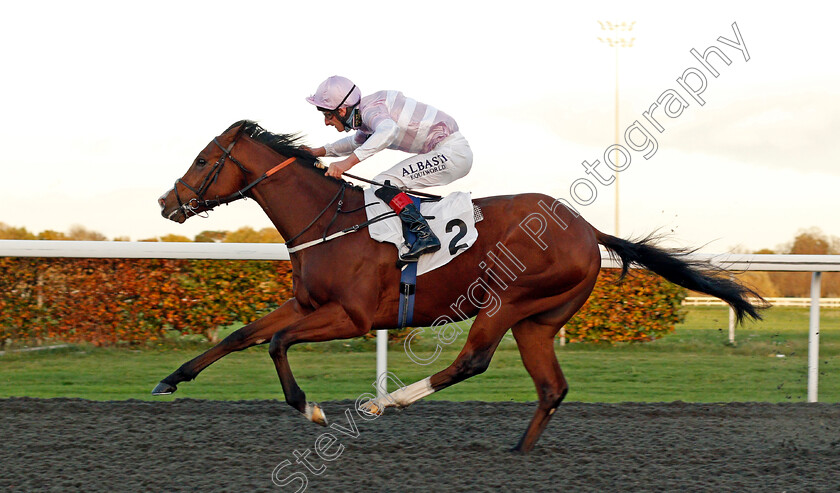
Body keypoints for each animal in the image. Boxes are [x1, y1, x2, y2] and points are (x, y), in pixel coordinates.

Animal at [156, 119, 760, 450]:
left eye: (204, 160)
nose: (166, 202)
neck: (329, 220)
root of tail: (589, 231)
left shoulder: (351, 316)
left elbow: (277, 343)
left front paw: (311, 407)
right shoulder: (307, 302)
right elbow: (245, 335)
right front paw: (171, 380)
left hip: (508, 299)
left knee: (472, 361)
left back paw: (386, 403)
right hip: (538, 320)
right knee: (551, 388)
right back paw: (517, 451)